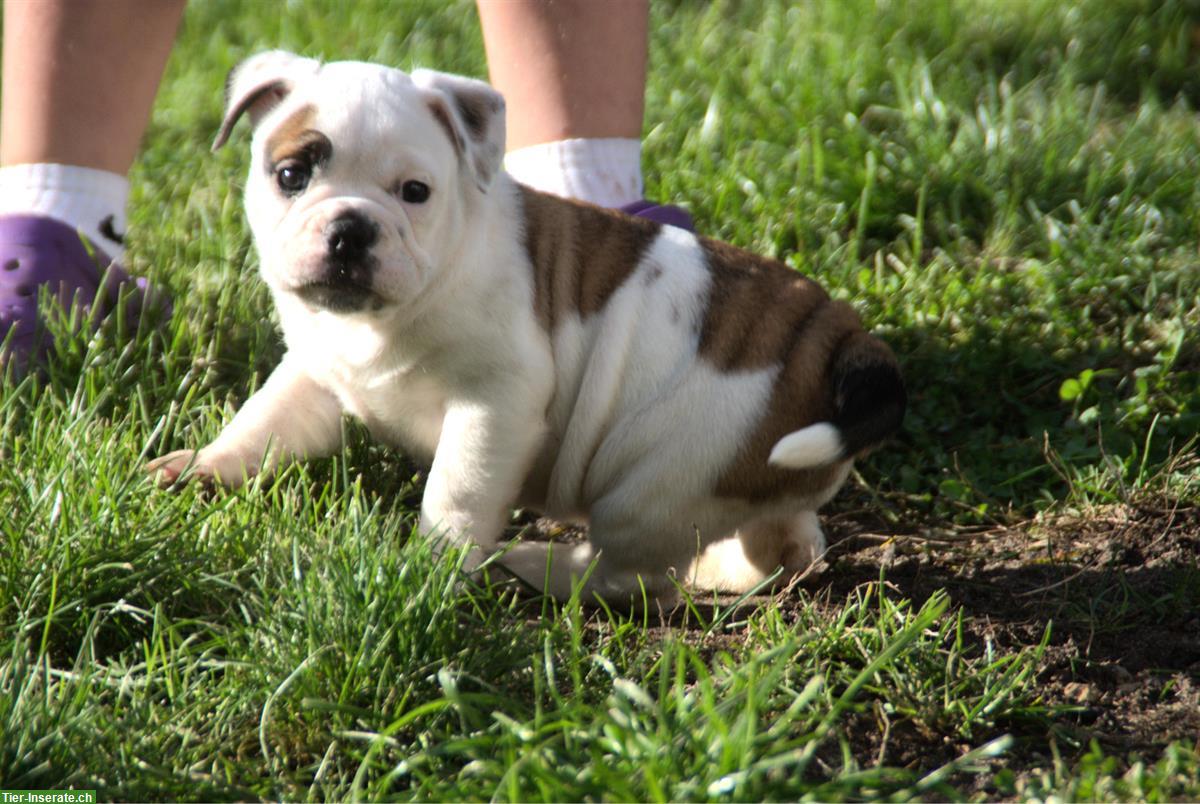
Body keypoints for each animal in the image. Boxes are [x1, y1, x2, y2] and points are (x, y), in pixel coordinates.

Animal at [145, 50, 902, 604]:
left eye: (415, 193)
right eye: (291, 174)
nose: (352, 229)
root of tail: (834, 335)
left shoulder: (494, 405)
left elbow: (456, 492)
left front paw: (431, 570)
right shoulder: (314, 373)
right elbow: (262, 422)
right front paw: (203, 467)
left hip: (657, 478)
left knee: (626, 571)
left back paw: (539, 564)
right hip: (753, 481)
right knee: (779, 549)